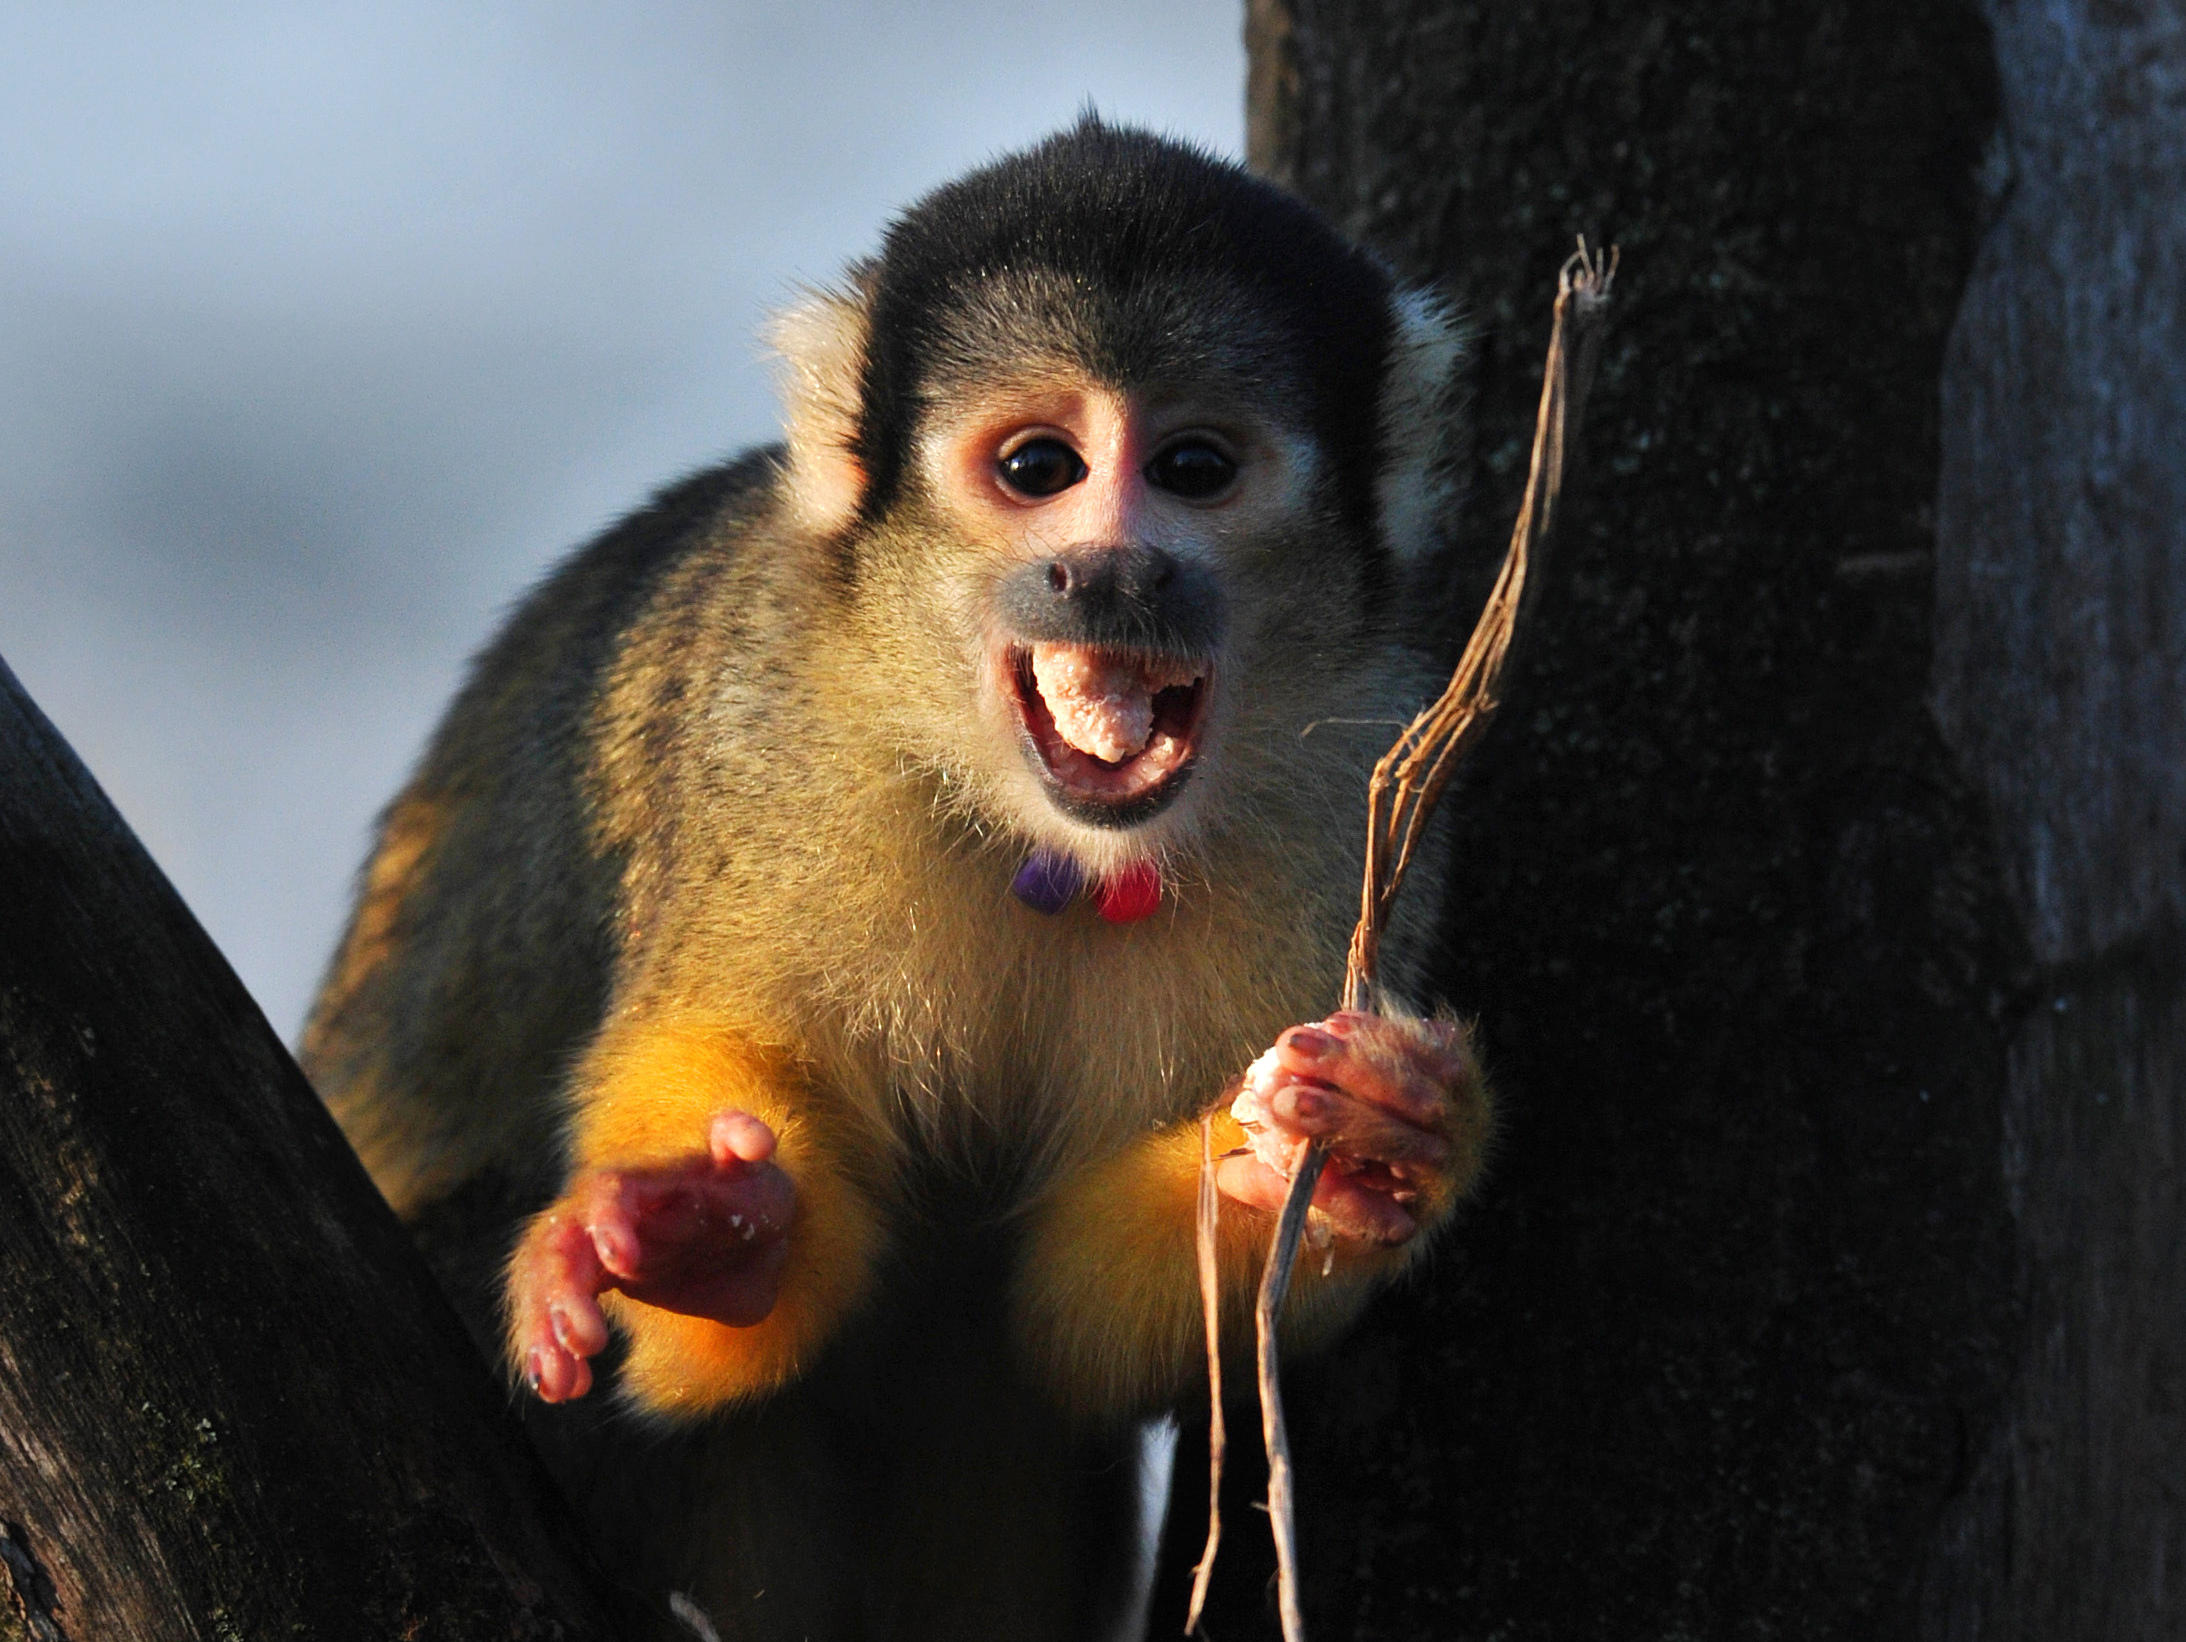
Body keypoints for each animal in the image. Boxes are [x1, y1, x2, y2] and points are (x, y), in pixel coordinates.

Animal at [303, 121, 1486, 1642]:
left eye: (1193, 465)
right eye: (1038, 465)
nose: (1112, 573)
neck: (1050, 842)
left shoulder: (1364, 783)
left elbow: (1075, 1331)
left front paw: (1337, 1154)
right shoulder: (760, 714)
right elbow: (733, 1100)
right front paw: (692, 1244)